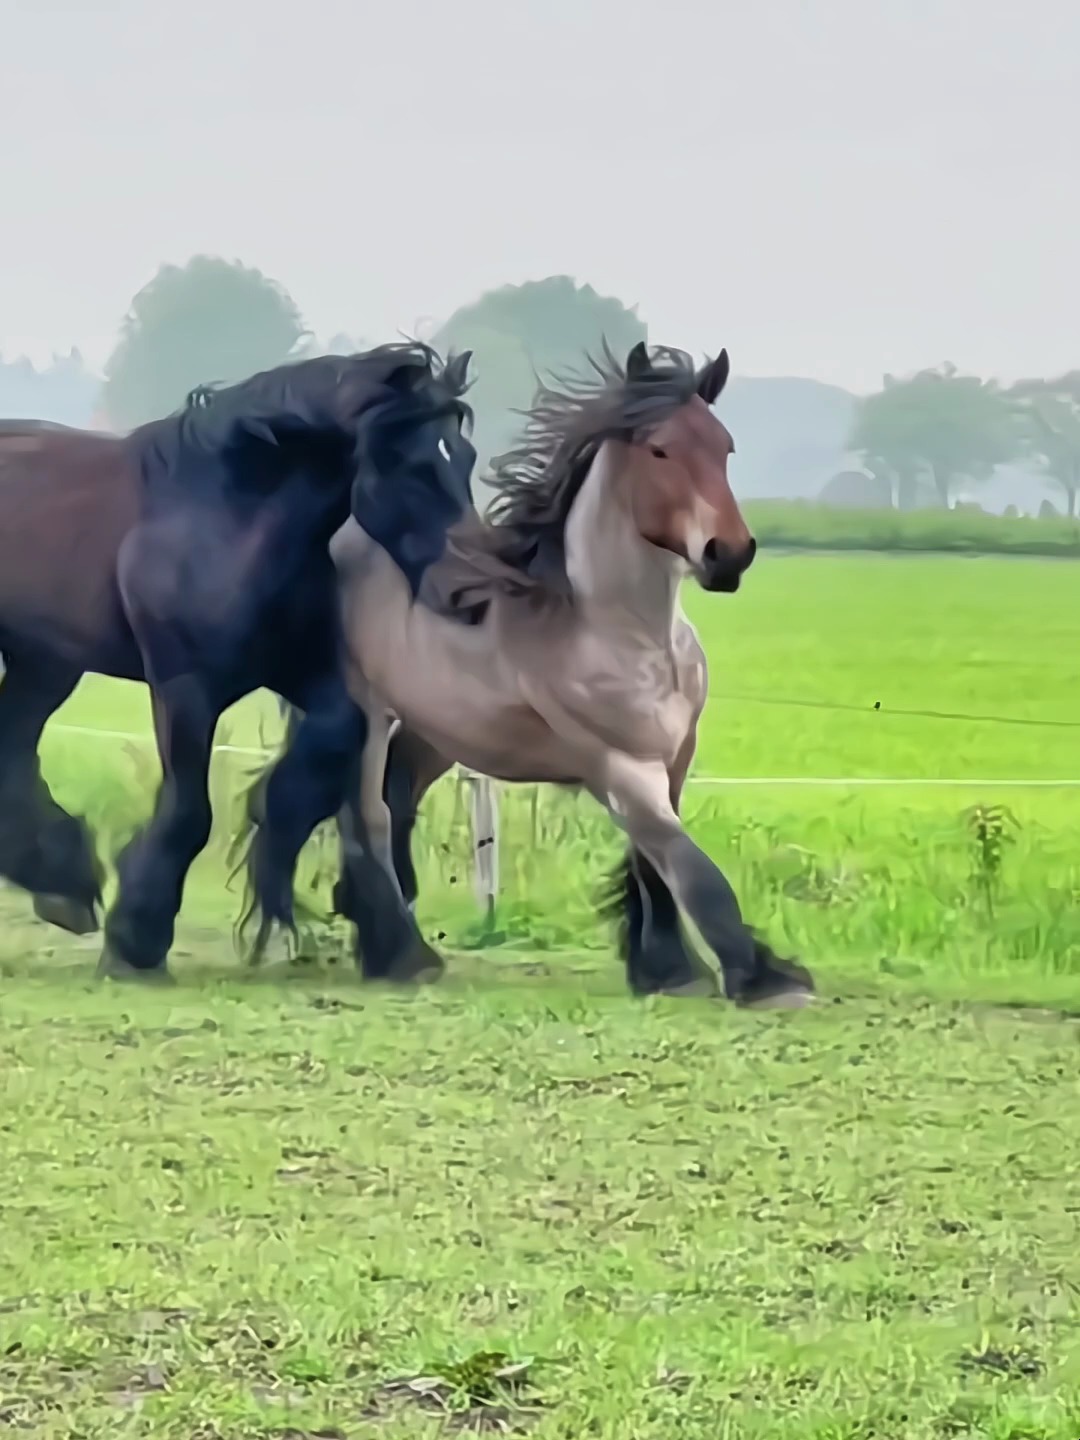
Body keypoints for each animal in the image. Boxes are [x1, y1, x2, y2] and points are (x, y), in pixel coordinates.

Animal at [0, 342, 478, 984]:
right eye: (412, 465)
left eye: (464, 457)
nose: (470, 589)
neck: (229, 517)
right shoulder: (185, 688)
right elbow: (188, 812)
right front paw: (135, 944)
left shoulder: (304, 673)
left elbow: (331, 747)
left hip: (45, 661)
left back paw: (63, 886)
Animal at [269, 341, 812, 1008]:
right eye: (659, 450)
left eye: (725, 448)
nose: (728, 555)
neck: (616, 631)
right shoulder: (619, 765)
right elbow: (692, 868)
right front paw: (764, 977)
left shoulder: (673, 758)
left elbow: (656, 865)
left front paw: (668, 970)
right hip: (367, 714)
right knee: (366, 815)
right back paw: (403, 955)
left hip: (436, 731)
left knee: (397, 799)